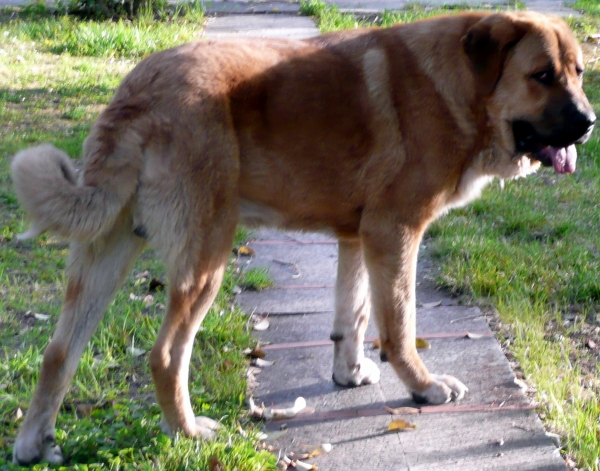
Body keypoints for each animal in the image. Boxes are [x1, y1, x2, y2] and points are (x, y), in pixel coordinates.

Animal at [9, 10, 596, 464]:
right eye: (541, 75)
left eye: (578, 72)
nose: (589, 122)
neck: (463, 84)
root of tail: (137, 89)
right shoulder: (396, 232)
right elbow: (400, 325)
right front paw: (423, 386)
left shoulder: (359, 237)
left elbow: (352, 315)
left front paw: (349, 373)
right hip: (206, 258)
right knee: (167, 355)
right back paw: (188, 432)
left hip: (105, 253)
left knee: (58, 352)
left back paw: (34, 444)